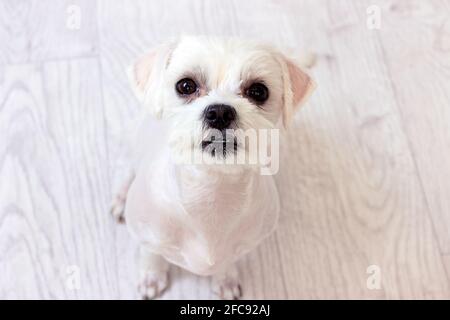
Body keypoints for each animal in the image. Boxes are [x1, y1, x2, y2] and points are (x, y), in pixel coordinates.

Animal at [110, 35, 314, 300]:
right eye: (185, 86)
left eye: (258, 91)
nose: (219, 112)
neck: (212, 191)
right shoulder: (147, 235)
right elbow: (152, 255)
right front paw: (151, 277)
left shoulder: (243, 244)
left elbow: (227, 262)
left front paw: (225, 279)